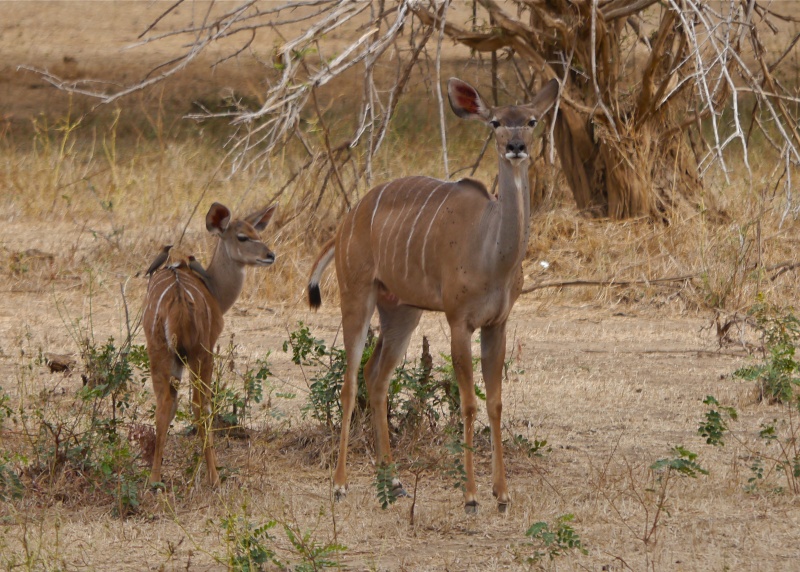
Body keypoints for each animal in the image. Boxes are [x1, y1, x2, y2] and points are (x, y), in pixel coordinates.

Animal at [144, 203, 278, 484]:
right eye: (242, 237)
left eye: (258, 233)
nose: (270, 255)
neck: (214, 289)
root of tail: (178, 300)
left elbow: (170, 407)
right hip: (200, 354)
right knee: (199, 406)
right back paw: (214, 477)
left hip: (159, 352)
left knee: (163, 404)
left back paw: (155, 479)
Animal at [310, 77, 560, 512]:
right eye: (495, 122)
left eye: (531, 120)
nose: (516, 146)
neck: (492, 252)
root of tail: (345, 224)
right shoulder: (459, 321)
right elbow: (469, 402)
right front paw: (472, 495)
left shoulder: (497, 324)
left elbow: (495, 401)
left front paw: (502, 494)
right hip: (356, 295)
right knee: (350, 381)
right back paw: (340, 485)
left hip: (402, 311)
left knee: (377, 377)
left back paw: (393, 482)